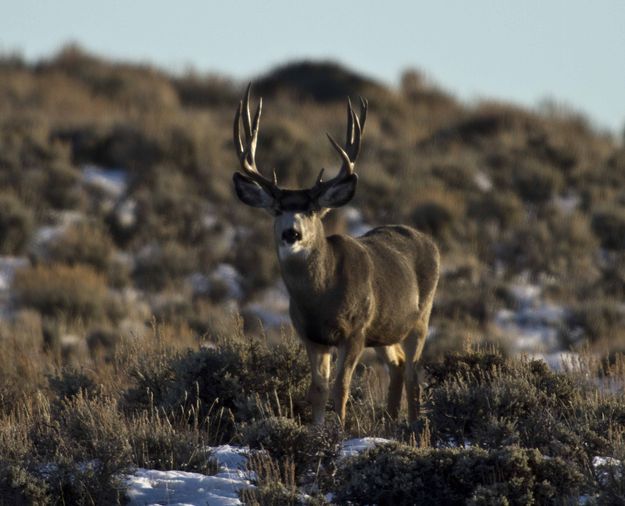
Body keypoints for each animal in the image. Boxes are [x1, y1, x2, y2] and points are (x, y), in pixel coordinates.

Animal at [230, 85, 438, 424]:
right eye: (277, 209)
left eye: (313, 210)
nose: (292, 233)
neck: (321, 298)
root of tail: (429, 240)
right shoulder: (311, 335)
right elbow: (318, 389)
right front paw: (316, 430)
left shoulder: (354, 331)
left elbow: (341, 387)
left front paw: (338, 431)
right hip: (384, 330)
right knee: (397, 364)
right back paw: (390, 421)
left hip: (420, 318)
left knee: (413, 372)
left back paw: (414, 424)